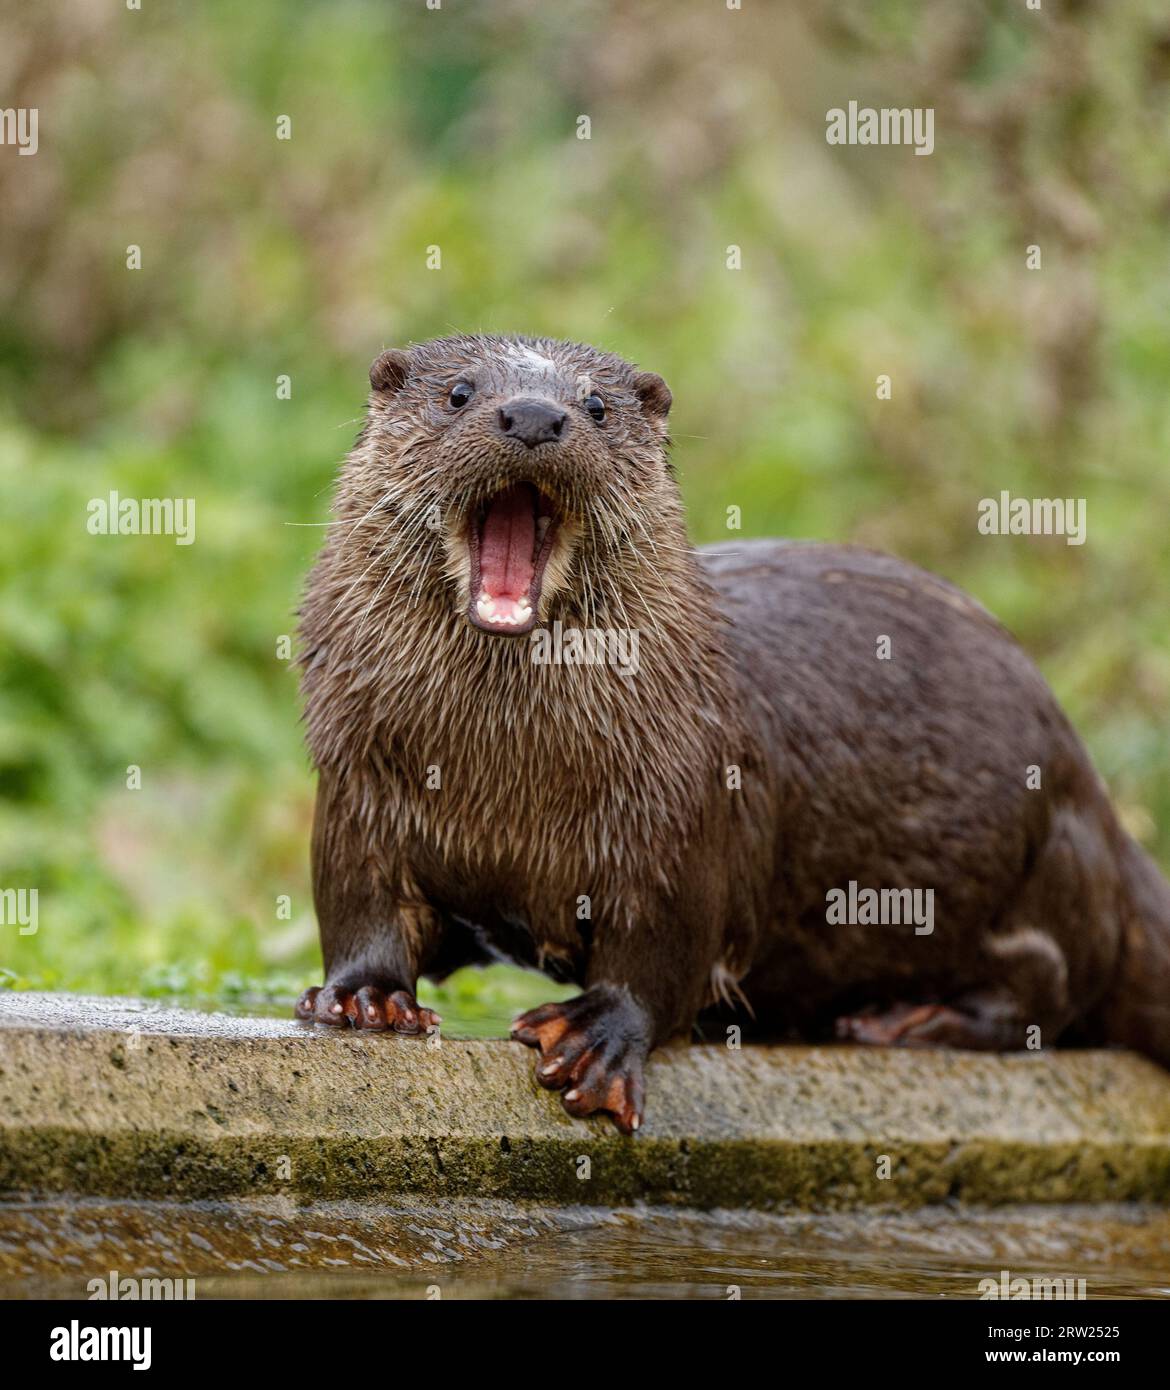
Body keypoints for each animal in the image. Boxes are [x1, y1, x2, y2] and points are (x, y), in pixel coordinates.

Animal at [295, 333, 1167, 1128]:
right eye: (459, 393)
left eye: (597, 406)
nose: (536, 416)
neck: (501, 782)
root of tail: (1091, 788)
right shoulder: (360, 787)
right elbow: (361, 902)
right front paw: (368, 997)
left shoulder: (686, 806)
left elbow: (665, 947)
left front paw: (595, 1037)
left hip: (1047, 860)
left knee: (1046, 985)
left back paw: (911, 1019)